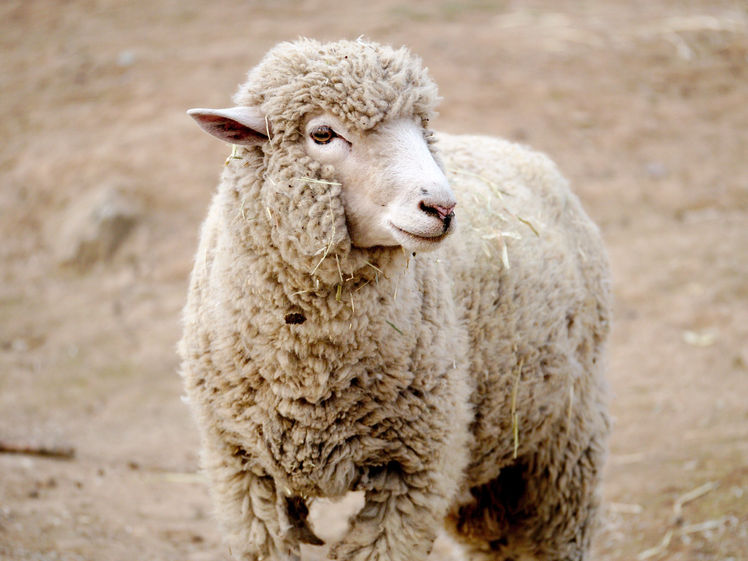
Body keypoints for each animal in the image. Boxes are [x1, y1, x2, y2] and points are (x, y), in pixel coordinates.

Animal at [179, 38, 611, 561]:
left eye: (423, 130)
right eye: (322, 133)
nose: (442, 207)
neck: (311, 376)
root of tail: (516, 148)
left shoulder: (414, 473)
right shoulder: (240, 469)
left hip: (565, 435)